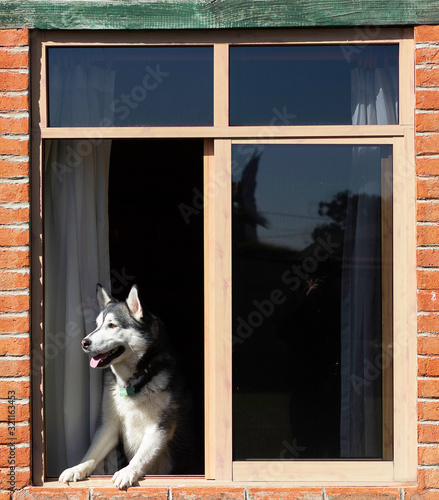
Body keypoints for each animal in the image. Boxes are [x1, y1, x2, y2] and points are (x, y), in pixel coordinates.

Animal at [59, 286, 190, 488]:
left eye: (112, 325)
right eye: (97, 325)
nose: (84, 342)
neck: (133, 380)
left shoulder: (160, 426)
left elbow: (141, 456)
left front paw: (127, 471)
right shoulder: (109, 424)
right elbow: (92, 452)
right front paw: (77, 469)